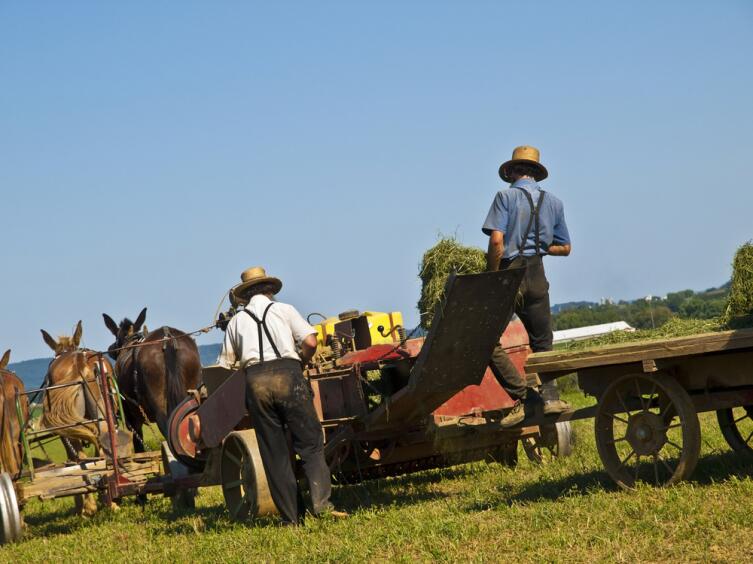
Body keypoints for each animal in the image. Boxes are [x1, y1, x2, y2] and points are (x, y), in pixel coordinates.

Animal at [39, 320, 116, 512]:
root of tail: (80, 362)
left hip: (71, 428)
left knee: (83, 458)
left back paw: (90, 505)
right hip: (103, 417)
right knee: (102, 452)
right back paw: (110, 501)